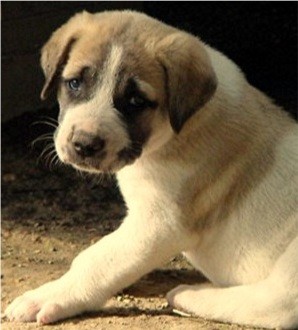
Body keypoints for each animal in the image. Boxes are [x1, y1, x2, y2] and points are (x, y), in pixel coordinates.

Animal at [5, 9, 298, 328]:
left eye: (136, 101)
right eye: (74, 83)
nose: (84, 143)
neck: (177, 130)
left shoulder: (159, 223)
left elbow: (98, 260)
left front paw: (48, 296)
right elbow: (108, 253)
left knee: (277, 306)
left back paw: (190, 295)